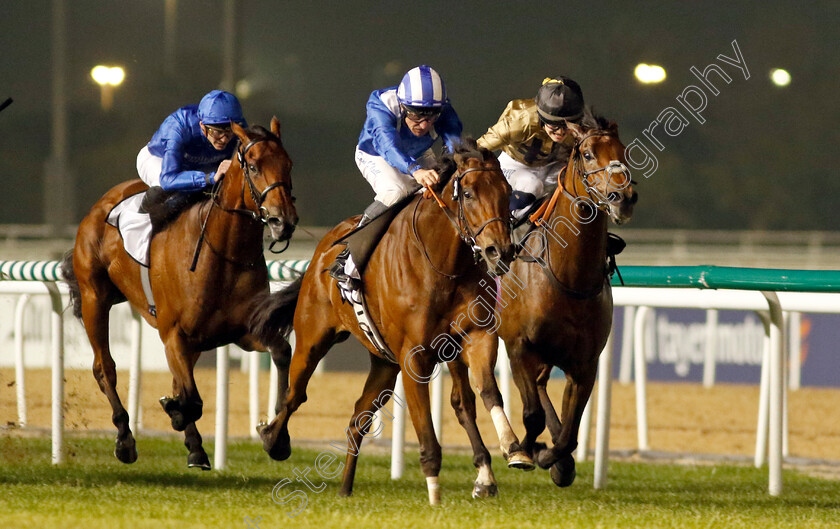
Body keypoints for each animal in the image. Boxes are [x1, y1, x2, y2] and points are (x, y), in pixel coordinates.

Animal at [62, 118, 298, 466]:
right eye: (253, 166)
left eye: (288, 164)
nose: (284, 221)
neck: (223, 254)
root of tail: (101, 204)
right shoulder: (173, 334)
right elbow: (191, 398)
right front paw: (174, 412)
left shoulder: (242, 330)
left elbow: (282, 352)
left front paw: (275, 436)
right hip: (95, 297)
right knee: (105, 368)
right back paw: (125, 438)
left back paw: (195, 447)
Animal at [253, 142, 536, 506]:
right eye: (469, 193)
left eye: (506, 192)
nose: (499, 250)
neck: (445, 265)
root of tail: (320, 253)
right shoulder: (415, 356)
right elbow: (426, 429)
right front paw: (435, 496)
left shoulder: (474, 336)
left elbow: (486, 390)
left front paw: (511, 452)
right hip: (312, 339)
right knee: (294, 395)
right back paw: (272, 439)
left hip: (384, 364)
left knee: (358, 419)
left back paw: (345, 488)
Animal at [496, 111, 640, 486]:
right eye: (587, 154)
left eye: (624, 151)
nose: (623, 197)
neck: (568, 277)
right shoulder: (519, 347)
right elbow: (531, 414)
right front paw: (526, 451)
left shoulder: (585, 362)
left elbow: (569, 434)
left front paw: (555, 459)